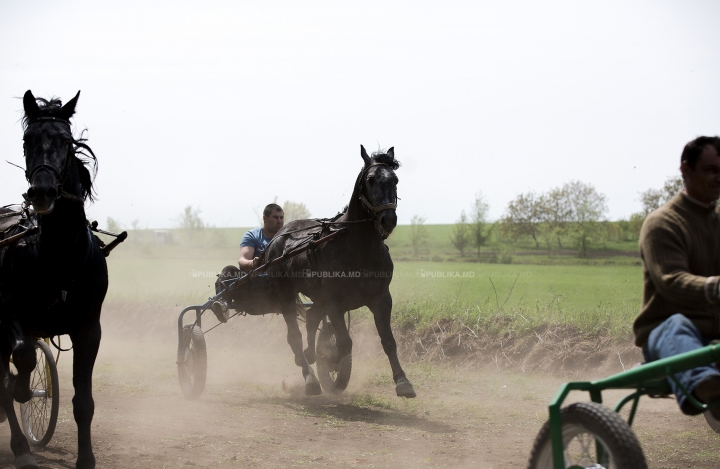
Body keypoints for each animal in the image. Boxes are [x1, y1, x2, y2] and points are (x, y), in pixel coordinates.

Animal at [0, 90, 107, 468]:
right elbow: (23, 359)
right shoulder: (11, 315)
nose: (42, 192)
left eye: (64, 140)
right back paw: (20, 445)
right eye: (27, 140)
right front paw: (20, 388)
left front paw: (85, 458)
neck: (60, 256)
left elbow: (84, 402)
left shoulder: (88, 328)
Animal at [266, 146, 416, 398]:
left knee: (311, 318)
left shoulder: (381, 298)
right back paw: (310, 378)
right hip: (286, 294)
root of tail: (278, 236)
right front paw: (331, 356)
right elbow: (345, 343)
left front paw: (403, 381)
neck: (358, 247)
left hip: (317, 298)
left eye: (395, 180)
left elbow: (388, 341)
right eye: (370, 179)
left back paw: (309, 355)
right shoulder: (334, 302)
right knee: (294, 336)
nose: (388, 220)